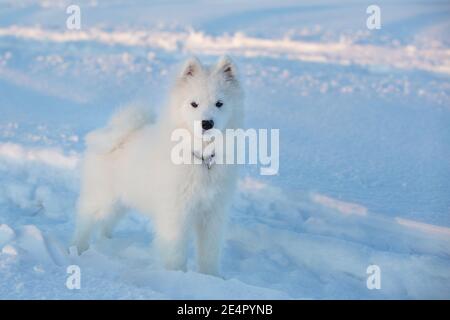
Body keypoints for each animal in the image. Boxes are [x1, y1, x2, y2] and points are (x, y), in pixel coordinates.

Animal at [73, 55, 243, 276]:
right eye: (194, 104)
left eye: (219, 103)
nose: (207, 123)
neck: (200, 157)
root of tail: (116, 133)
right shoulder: (176, 213)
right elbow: (175, 251)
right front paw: (177, 275)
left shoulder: (213, 213)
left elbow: (209, 253)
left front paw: (210, 278)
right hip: (101, 197)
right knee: (84, 221)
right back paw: (76, 250)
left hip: (121, 201)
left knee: (106, 222)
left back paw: (107, 242)